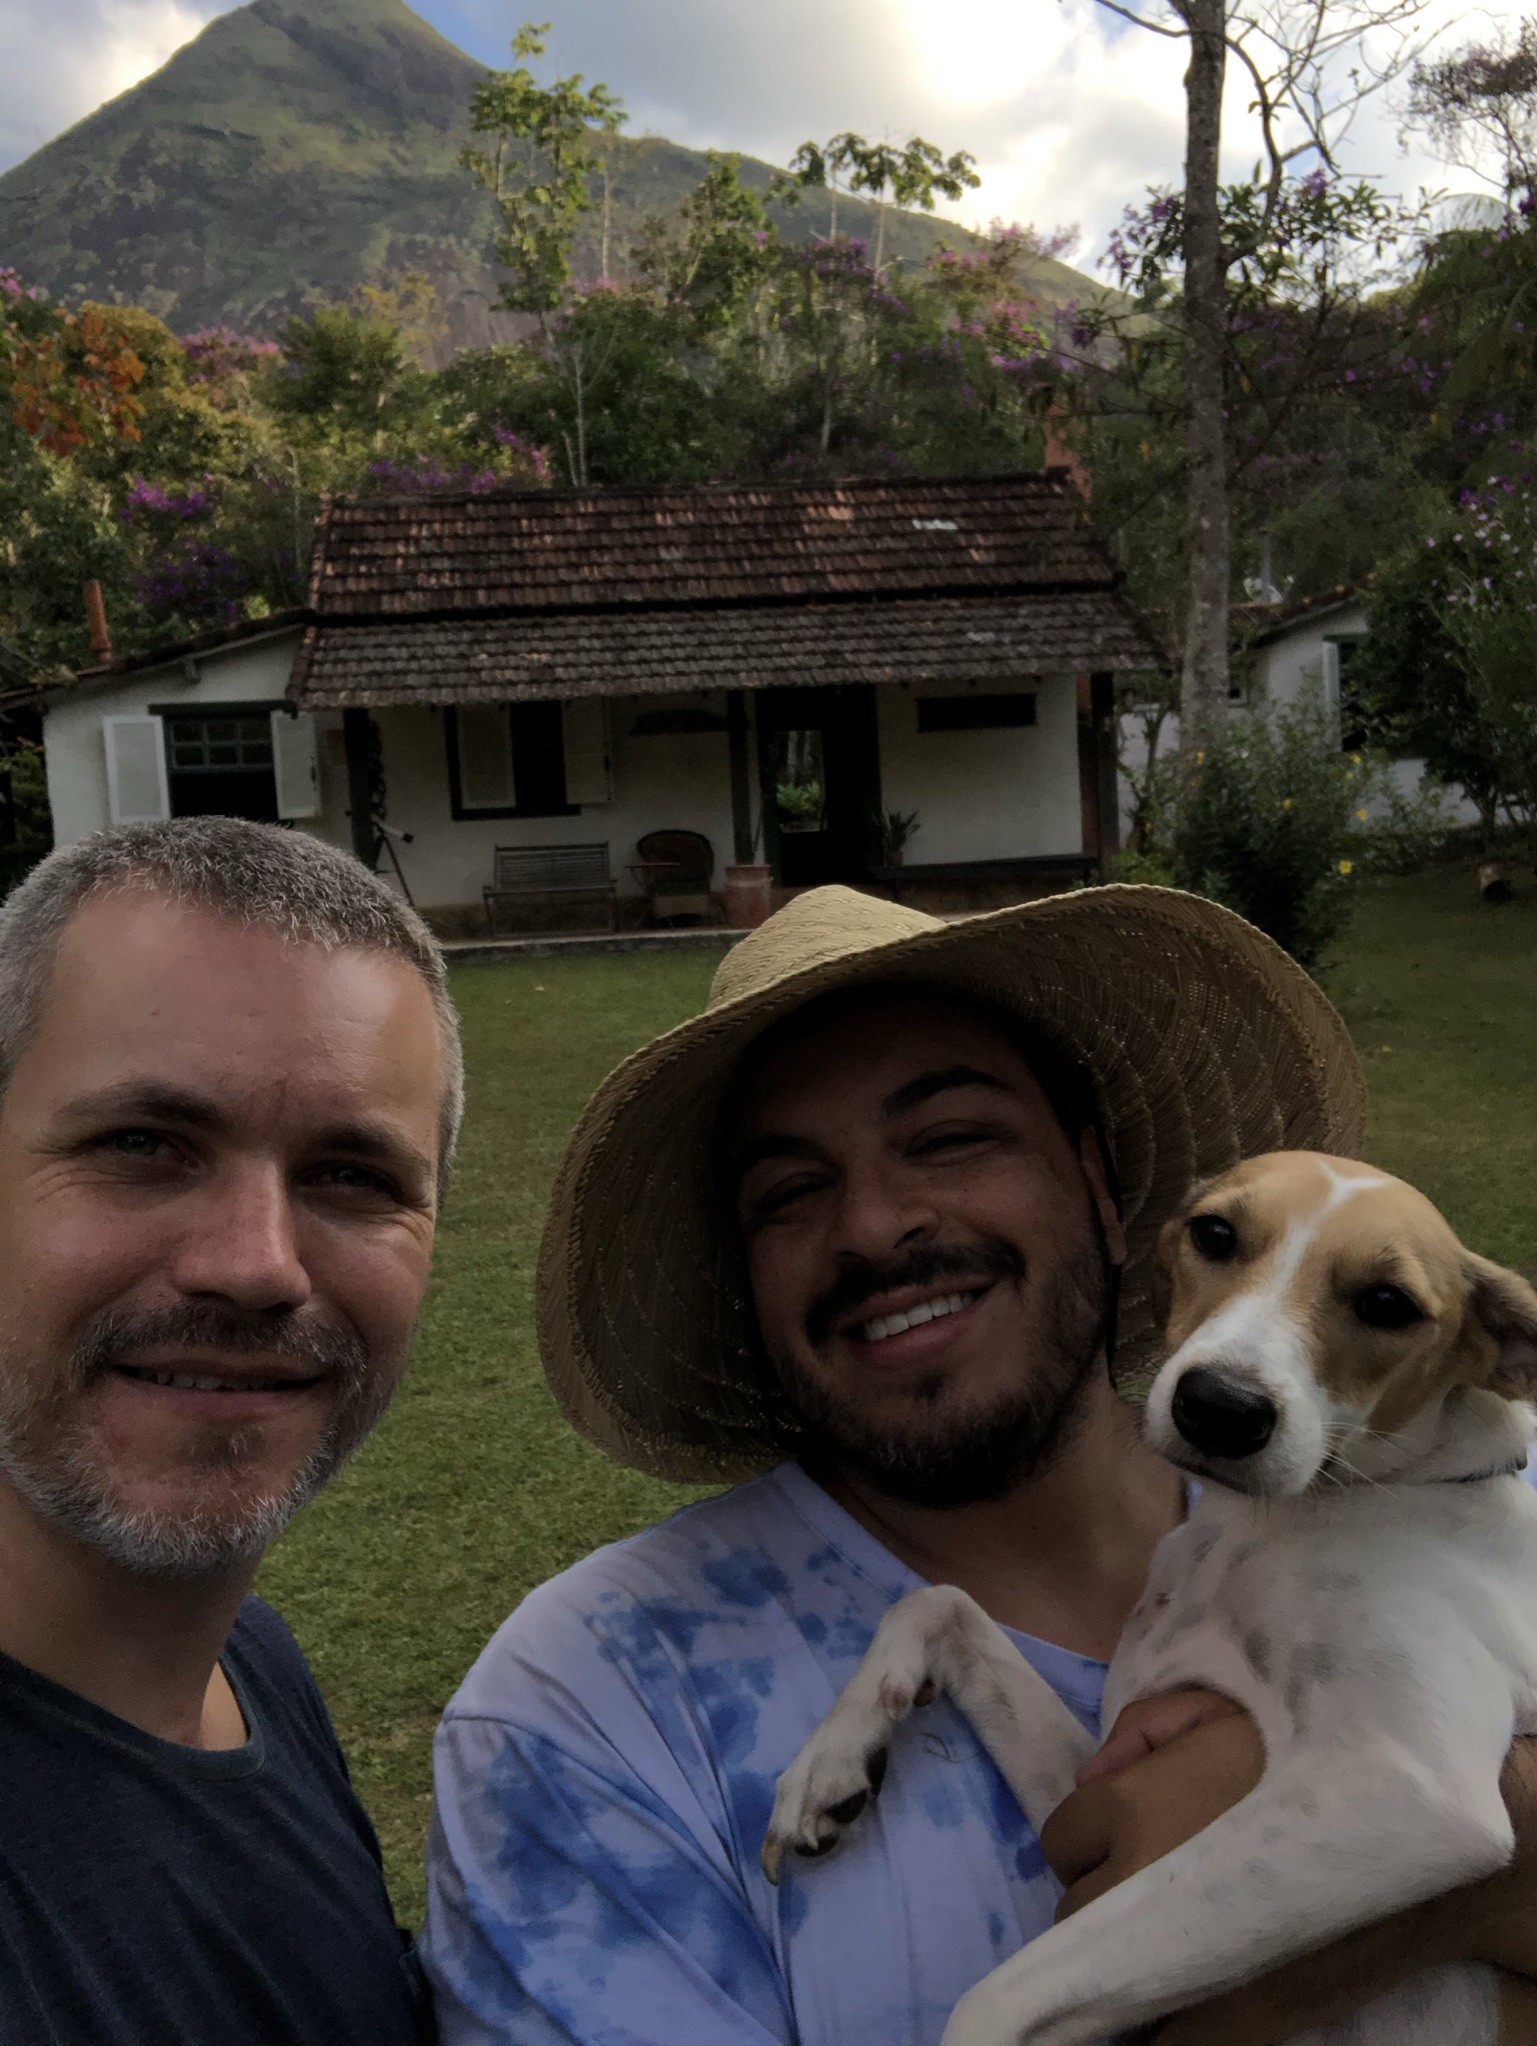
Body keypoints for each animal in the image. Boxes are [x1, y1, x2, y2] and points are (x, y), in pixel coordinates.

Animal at [765, 1153, 1537, 2046]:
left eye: (1388, 1304)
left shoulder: (1405, 1785)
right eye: (1214, 1232)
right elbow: (938, 1600)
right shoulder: (1093, 1776)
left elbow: (990, 2000)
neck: (1271, 1526)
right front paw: (831, 1757)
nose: (1221, 1409)